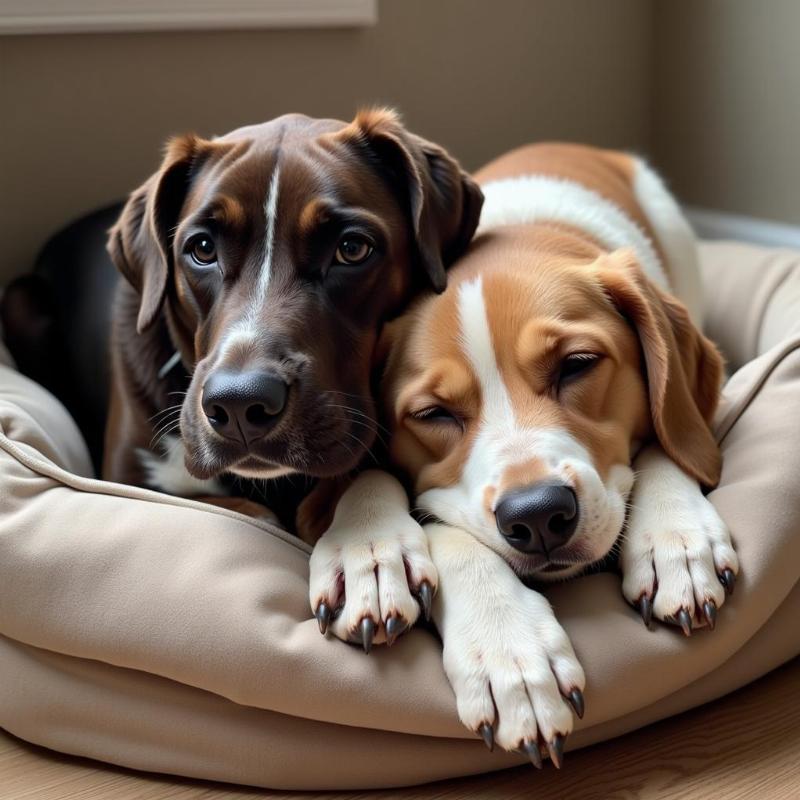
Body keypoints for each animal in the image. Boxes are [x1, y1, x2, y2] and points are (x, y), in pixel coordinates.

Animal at [306, 142, 736, 768]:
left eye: (577, 365)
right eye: (433, 414)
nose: (537, 516)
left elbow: (665, 442)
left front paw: (675, 540)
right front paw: (507, 651)